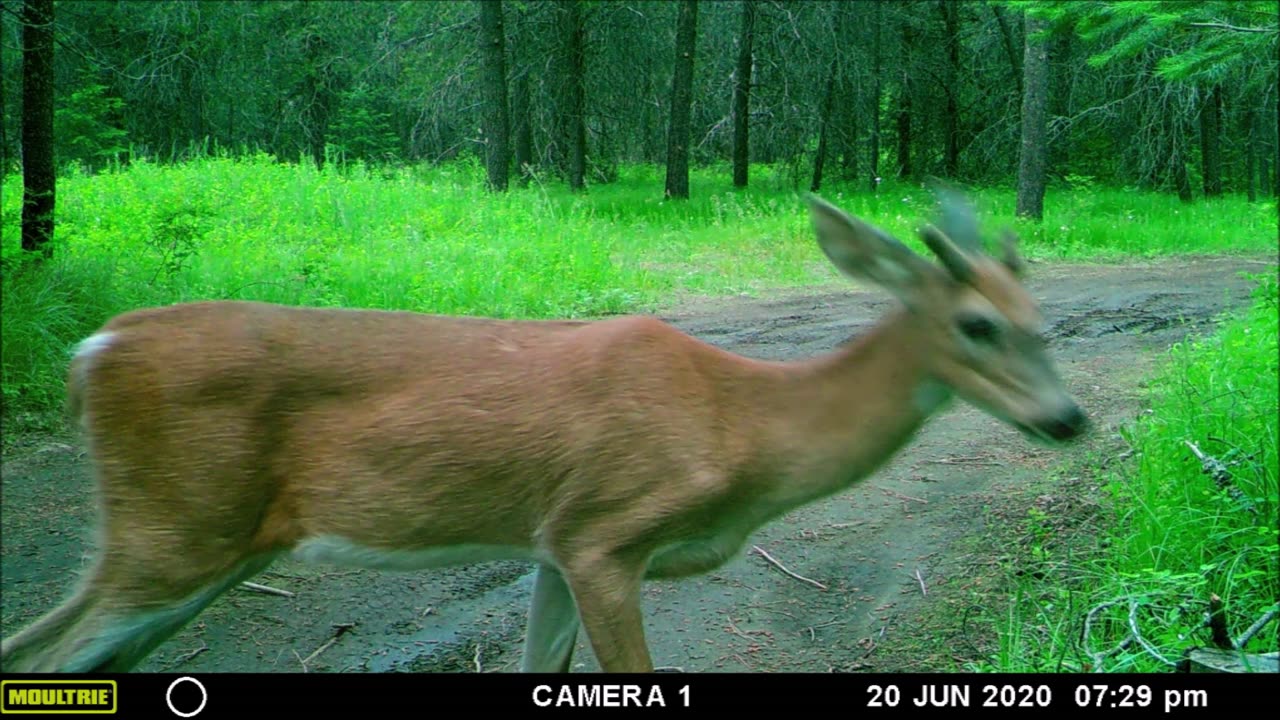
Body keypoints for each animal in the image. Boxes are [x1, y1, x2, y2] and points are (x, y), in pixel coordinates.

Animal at [0, 190, 1090, 671]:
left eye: (1041, 320)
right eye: (976, 324)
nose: (1068, 416)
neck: (743, 425)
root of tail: (94, 348)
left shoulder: (549, 548)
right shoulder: (604, 529)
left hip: (182, 546)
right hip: (177, 533)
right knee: (47, 659)